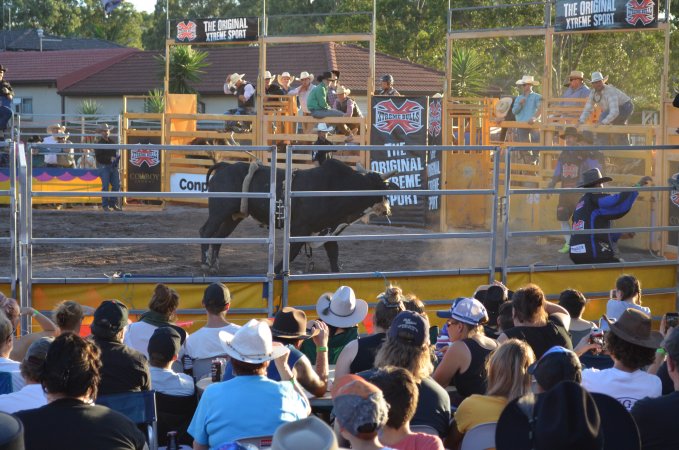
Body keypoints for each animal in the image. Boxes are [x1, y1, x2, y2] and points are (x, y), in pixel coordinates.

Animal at [198, 158, 398, 272]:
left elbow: (333, 254)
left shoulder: (328, 229)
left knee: (219, 236)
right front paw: (277, 271)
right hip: (219, 211)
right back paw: (205, 264)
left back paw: (214, 264)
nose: (387, 209)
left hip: (233, 216)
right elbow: (292, 253)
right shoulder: (300, 229)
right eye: (379, 186)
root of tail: (225, 166)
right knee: (206, 232)